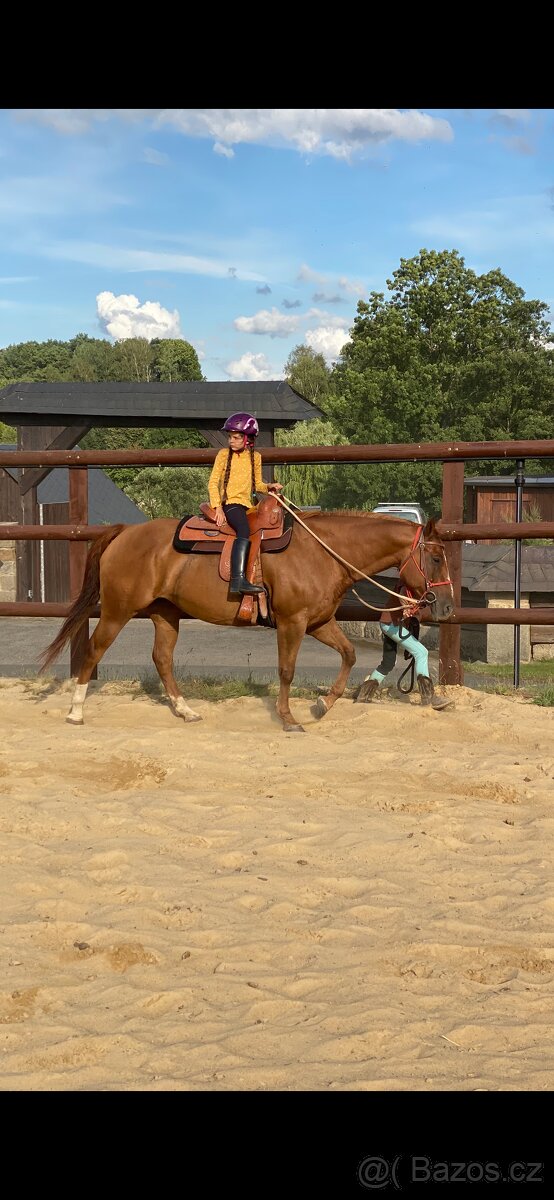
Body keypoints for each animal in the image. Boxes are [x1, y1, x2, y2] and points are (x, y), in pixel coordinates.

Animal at [39, 509, 454, 732]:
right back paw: (75, 712)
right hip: (117, 610)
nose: (448, 607)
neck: (322, 553)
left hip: (165, 613)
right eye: (435, 558)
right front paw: (288, 719)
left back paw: (186, 711)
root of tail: (125, 533)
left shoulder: (319, 622)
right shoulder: (292, 623)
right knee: (94, 650)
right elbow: (286, 671)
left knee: (162, 659)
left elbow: (350, 655)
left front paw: (322, 705)